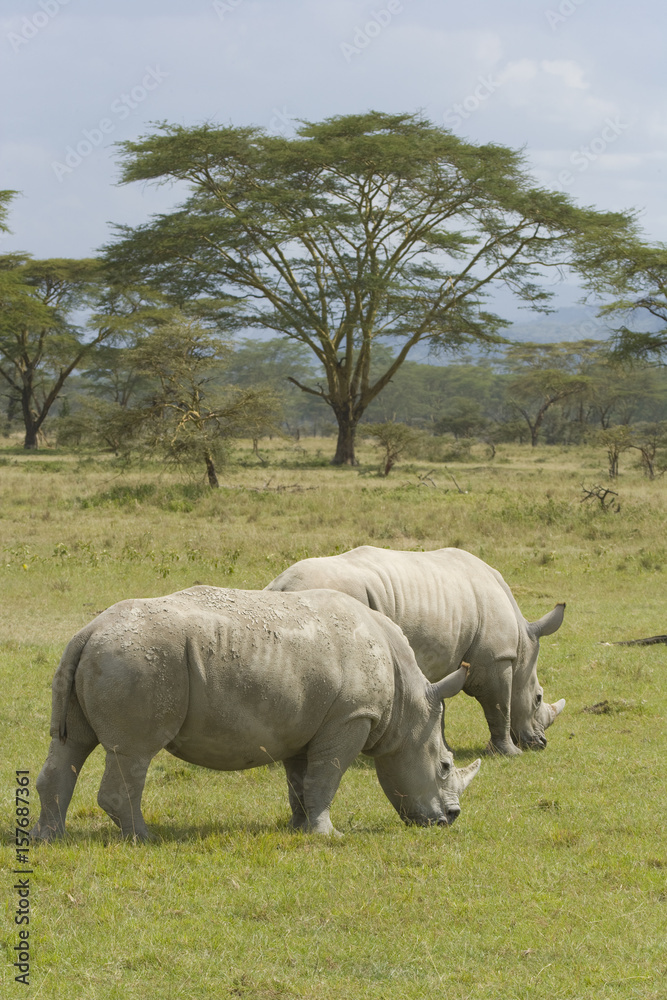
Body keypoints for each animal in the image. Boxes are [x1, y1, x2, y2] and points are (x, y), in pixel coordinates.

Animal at [31, 586, 480, 841]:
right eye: (444, 766)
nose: (451, 818)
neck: (408, 704)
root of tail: (88, 630)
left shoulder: (307, 724)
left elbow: (302, 781)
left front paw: (299, 829)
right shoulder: (352, 716)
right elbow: (328, 776)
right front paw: (328, 836)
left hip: (108, 655)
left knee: (71, 745)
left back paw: (47, 838)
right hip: (136, 660)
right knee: (133, 752)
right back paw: (144, 838)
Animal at [266, 546, 566, 756]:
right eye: (538, 698)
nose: (540, 743)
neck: (522, 643)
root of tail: (280, 584)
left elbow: (440, 702)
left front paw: (443, 747)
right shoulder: (495, 658)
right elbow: (499, 705)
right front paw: (509, 753)